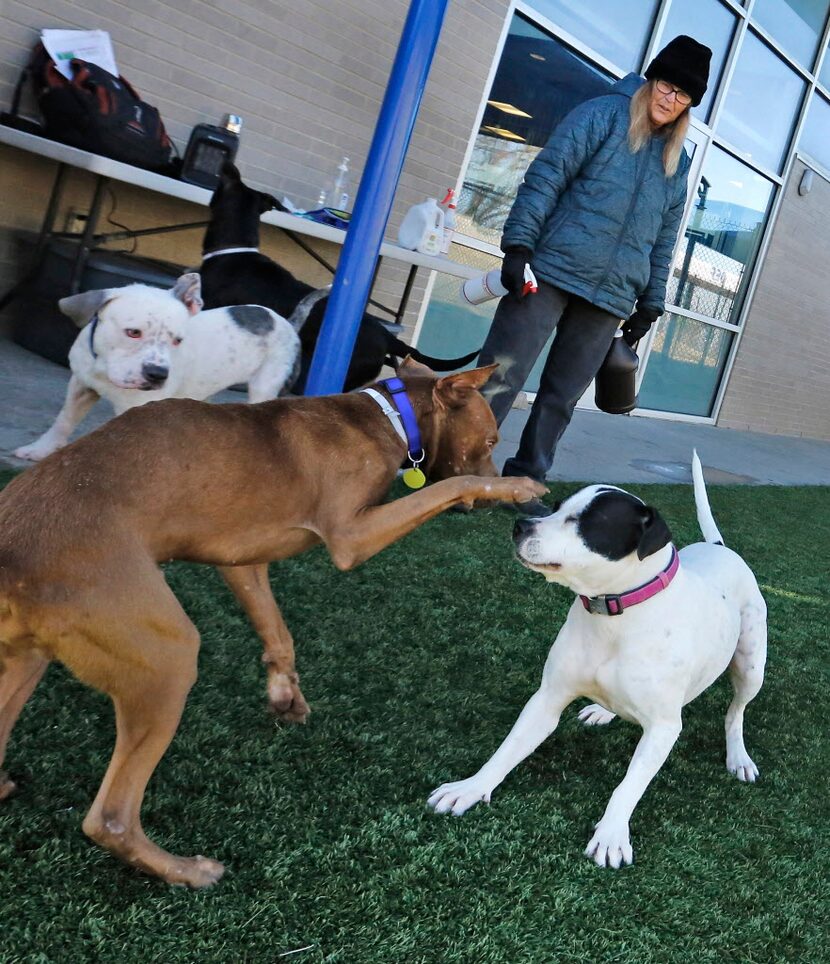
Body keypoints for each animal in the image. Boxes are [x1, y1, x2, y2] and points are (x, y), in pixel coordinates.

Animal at [0, 362, 544, 888]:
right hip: (165, 656)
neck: (387, 415)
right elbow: (453, 485)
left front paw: (285, 695)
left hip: (25, 663)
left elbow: (278, 632)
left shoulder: (242, 560)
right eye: (492, 441)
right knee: (110, 817)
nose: (512, 505)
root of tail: (11, 553)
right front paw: (514, 486)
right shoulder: (351, 537)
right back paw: (183, 870)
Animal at [15, 274, 328, 462]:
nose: (158, 374)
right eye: (133, 332)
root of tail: (288, 323)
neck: (105, 368)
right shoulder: (81, 385)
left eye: (178, 339)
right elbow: (64, 419)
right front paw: (40, 449)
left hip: (266, 385)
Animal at [432, 456, 772, 868]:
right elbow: (507, 750)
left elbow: (629, 785)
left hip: (752, 667)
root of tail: (719, 547)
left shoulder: (663, 728)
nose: (520, 525)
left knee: (736, 712)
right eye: (556, 506)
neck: (613, 611)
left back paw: (738, 755)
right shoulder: (547, 699)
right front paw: (470, 788)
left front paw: (611, 835)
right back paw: (602, 710)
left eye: (586, 523)